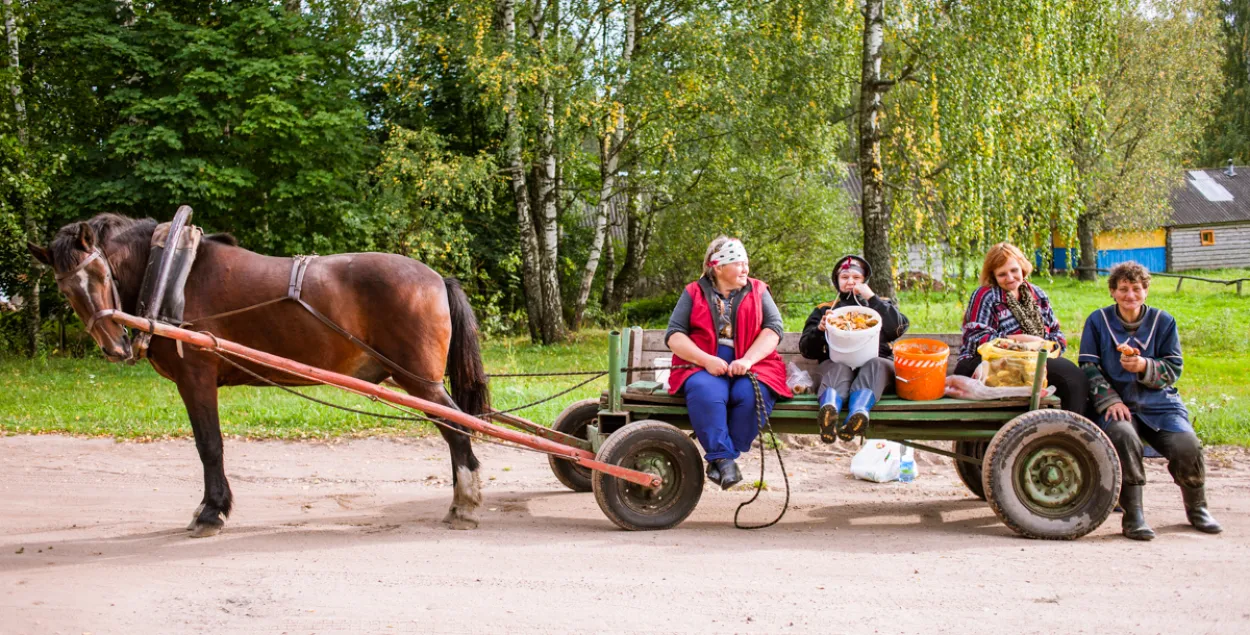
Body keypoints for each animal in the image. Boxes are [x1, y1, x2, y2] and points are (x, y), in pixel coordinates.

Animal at [29, 213, 487, 535]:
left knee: (456, 428)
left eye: (98, 274)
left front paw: (211, 512)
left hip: (420, 381)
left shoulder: (196, 377)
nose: (115, 347)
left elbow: (209, 445)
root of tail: (436, 277)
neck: (172, 272)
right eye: (65, 289)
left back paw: (464, 500)